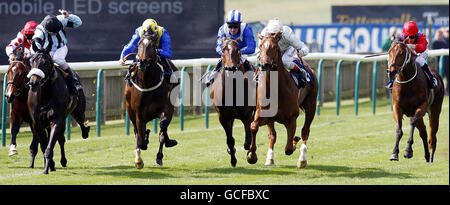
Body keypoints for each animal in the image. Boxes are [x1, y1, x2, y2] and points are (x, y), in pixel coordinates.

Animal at [125, 30, 179, 168]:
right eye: (138, 44)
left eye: (153, 45)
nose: (142, 62)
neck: (147, 83)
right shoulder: (138, 114)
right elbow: (141, 139)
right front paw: (139, 159)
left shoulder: (167, 107)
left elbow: (163, 126)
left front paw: (168, 143)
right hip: (130, 111)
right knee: (136, 131)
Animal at [210, 38, 253, 167]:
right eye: (223, 49)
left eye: (238, 49)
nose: (231, 68)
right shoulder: (223, 117)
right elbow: (230, 140)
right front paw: (233, 158)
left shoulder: (246, 115)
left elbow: (248, 139)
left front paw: (250, 155)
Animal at [248, 30, 318, 168]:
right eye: (260, 46)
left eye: (274, 47)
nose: (264, 65)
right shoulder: (264, 115)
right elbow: (255, 127)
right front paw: (252, 156)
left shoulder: (292, 118)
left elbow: (289, 148)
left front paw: (294, 142)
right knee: (273, 135)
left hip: (311, 106)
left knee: (305, 131)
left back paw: (302, 160)